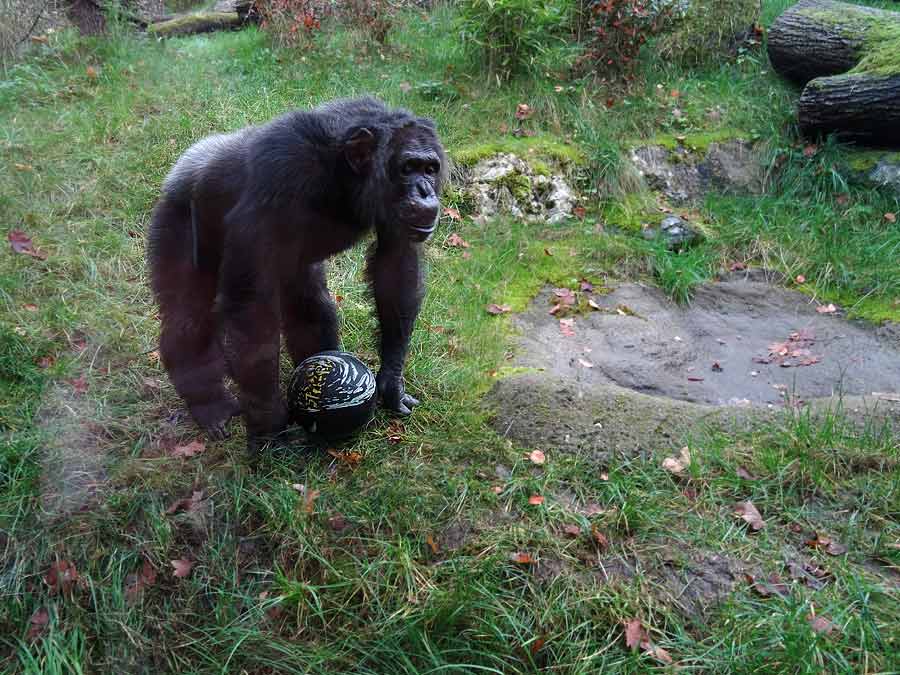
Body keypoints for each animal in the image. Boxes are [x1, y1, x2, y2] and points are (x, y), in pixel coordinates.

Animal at [146, 95, 448, 452]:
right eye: (407, 168)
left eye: (429, 168)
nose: (425, 190)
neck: (342, 173)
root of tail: (183, 165)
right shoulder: (281, 172)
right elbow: (251, 308)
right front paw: (268, 420)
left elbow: (396, 266)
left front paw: (391, 381)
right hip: (175, 219)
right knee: (189, 314)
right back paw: (209, 402)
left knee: (310, 302)